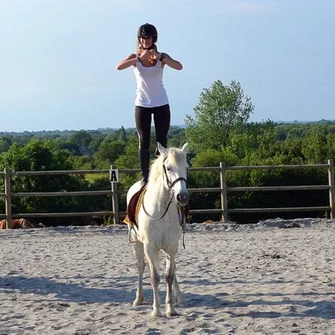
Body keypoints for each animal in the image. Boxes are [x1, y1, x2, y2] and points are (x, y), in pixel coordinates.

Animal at [126, 142, 190, 318]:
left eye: (186, 167)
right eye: (168, 168)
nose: (183, 197)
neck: (161, 208)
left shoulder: (172, 247)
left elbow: (170, 275)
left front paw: (171, 308)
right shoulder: (150, 246)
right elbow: (154, 277)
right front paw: (156, 310)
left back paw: (179, 298)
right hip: (138, 244)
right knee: (141, 267)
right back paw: (138, 299)